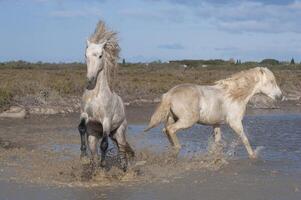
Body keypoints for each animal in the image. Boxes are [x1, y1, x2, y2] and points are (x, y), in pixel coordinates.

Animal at [78, 19, 133, 170]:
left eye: (100, 55)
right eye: (85, 55)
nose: (90, 79)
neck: (95, 95)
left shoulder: (106, 121)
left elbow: (104, 144)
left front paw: (103, 163)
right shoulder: (84, 114)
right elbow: (81, 128)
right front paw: (83, 157)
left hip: (119, 132)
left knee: (122, 149)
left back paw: (124, 167)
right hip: (94, 136)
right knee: (95, 149)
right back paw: (94, 165)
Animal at [144, 68, 282, 159]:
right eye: (271, 81)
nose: (280, 97)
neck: (235, 95)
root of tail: (170, 94)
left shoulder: (216, 124)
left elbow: (218, 142)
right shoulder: (235, 123)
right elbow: (245, 139)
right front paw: (253, 156)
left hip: (172, 118)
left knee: (166, 130)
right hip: (188, 120)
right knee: (171, 130)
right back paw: (178, 148)